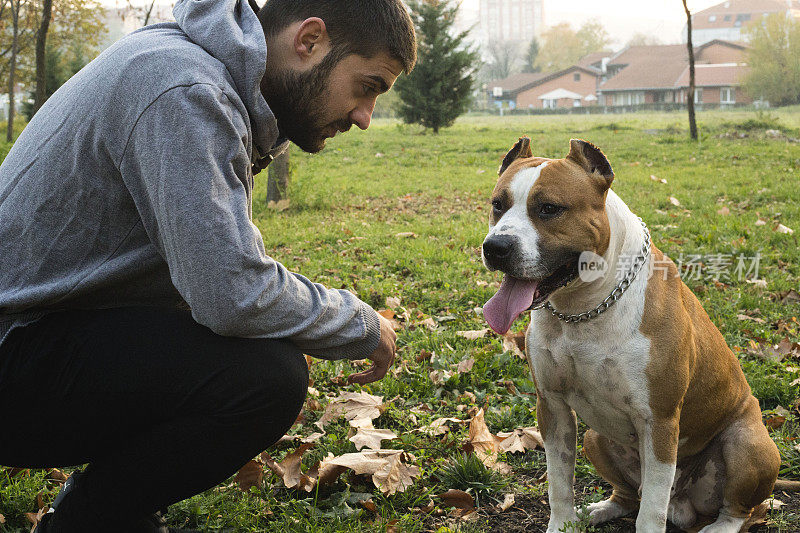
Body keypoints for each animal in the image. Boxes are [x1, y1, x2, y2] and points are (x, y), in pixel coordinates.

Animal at [482, 138, 780, 532]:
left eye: (549, 209)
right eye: (497, 205)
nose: (495, 247)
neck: (583, 309)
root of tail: (685, 507)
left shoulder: (659, 421)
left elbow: (652, 507)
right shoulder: (553, 407)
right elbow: (559, 483)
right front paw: (561, 524)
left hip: (747, 443)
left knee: (738, 509)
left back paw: (720, 526)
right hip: (594, 437)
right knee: (628, 494)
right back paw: (600, 509)